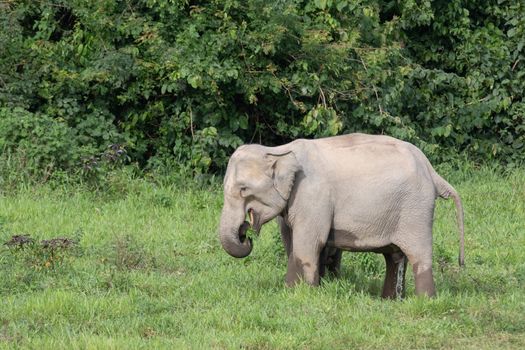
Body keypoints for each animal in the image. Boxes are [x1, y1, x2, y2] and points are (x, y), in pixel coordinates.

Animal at [217, 133, 462, 296]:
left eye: (243, 189)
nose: (245, 233)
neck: (278, 149)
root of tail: (431, 170)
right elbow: (291, 243)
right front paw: (293, 291)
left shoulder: (313, 195)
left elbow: (307, 244)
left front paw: (301, 295)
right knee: (394, 256)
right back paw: (390, 299)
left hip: (416, 210)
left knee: (418, 253)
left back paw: (425, 300)